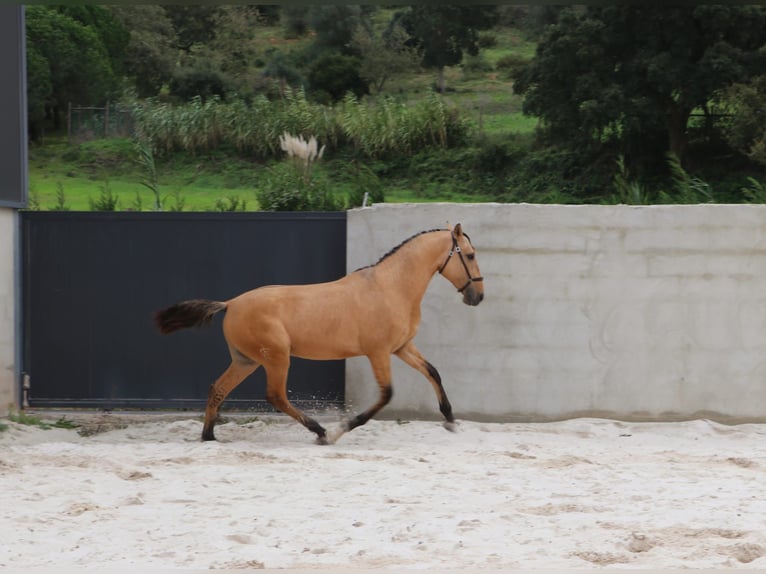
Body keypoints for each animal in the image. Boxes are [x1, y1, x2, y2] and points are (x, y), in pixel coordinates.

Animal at [153, 225, 484, 446]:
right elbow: (386, 394)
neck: (390, 288)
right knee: (275, 396)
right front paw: (341, 429)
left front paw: (450, 420)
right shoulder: (378, 352)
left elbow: (433, 372)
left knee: (218, 389)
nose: (478, 296)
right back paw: (321, 432)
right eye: (469, 255)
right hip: (276, 358)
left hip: (246, 360)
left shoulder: (402, 347)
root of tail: (230, 303)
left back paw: (209, 436)